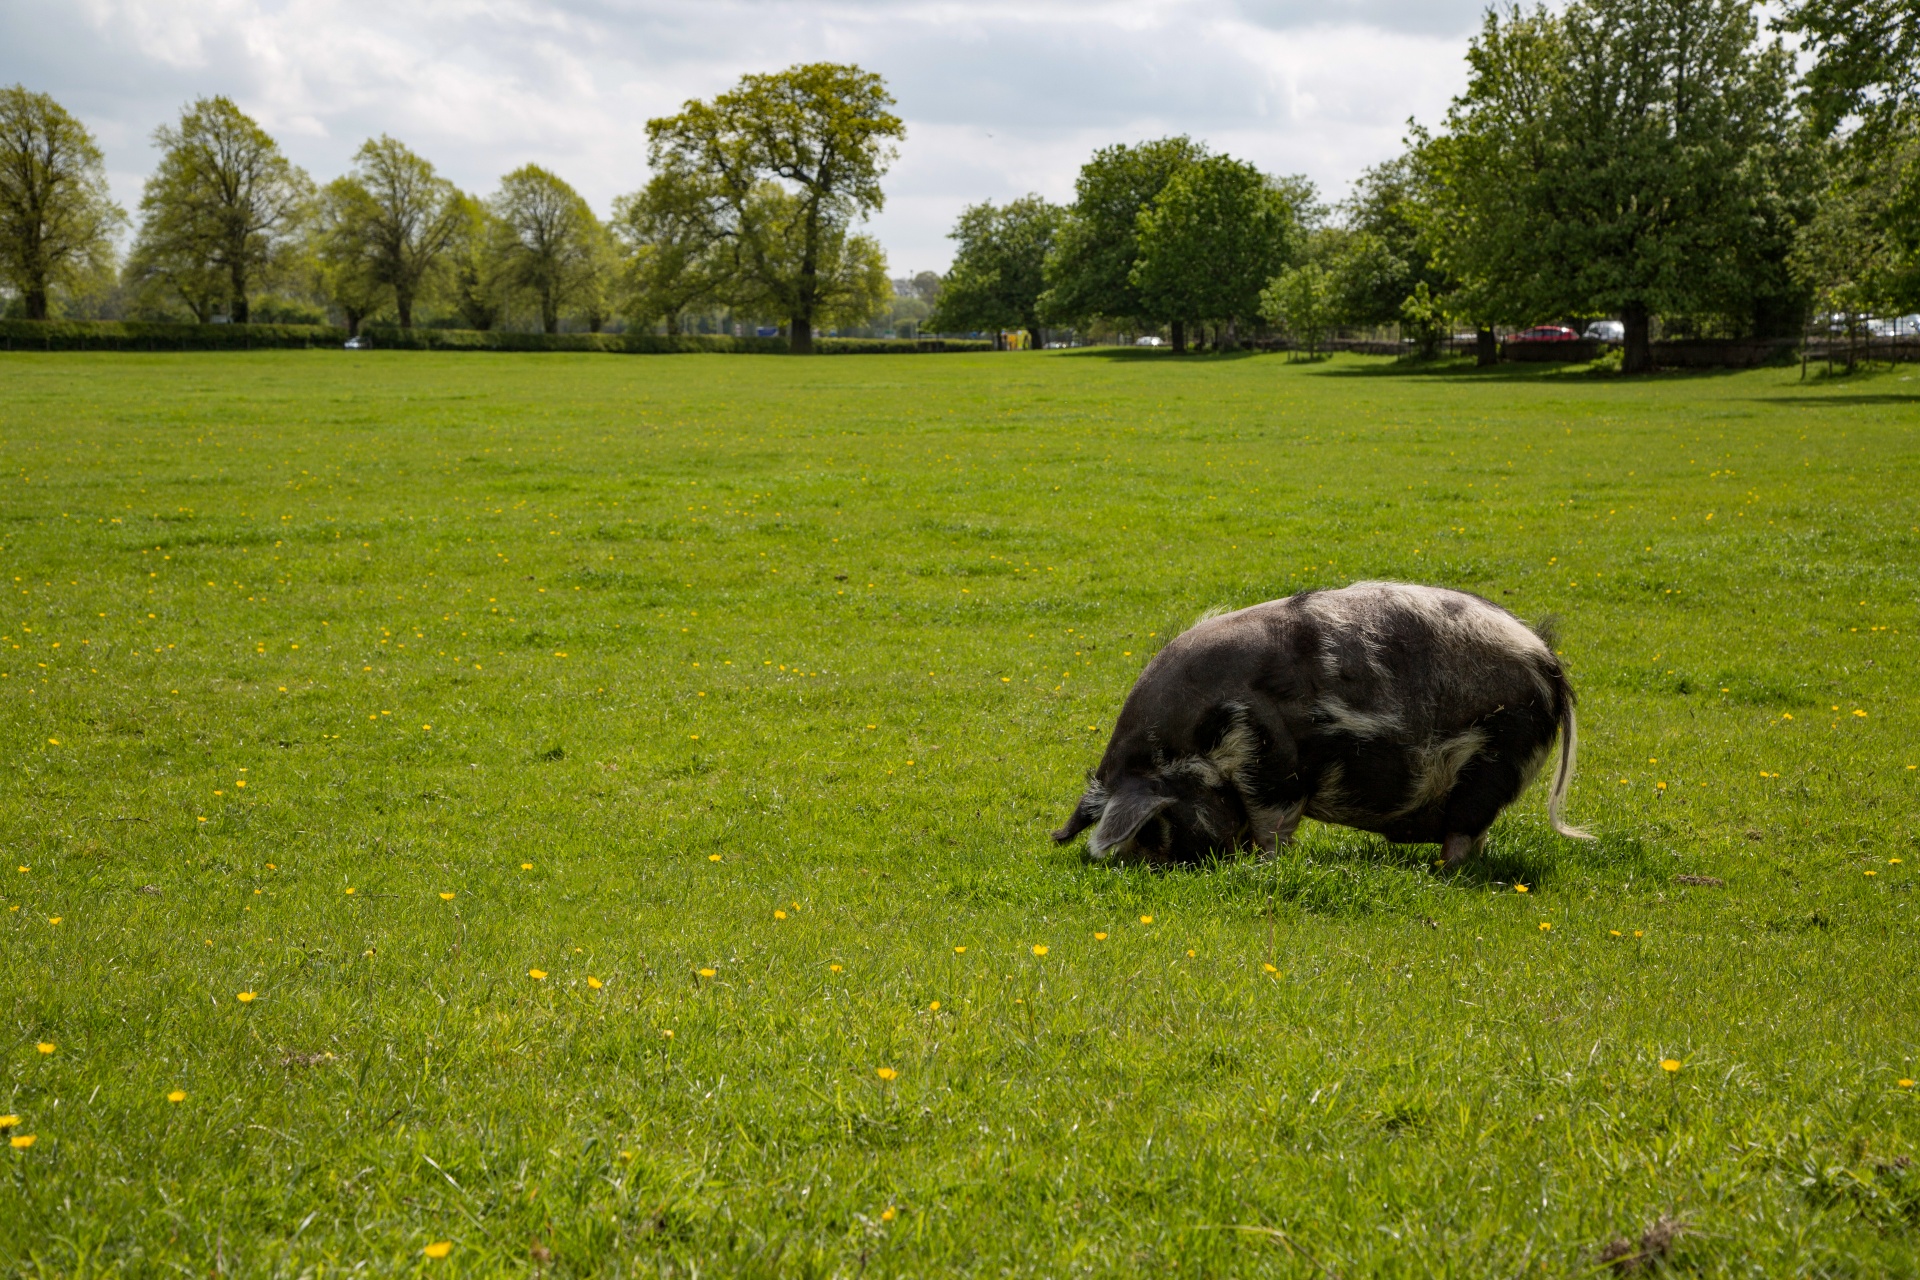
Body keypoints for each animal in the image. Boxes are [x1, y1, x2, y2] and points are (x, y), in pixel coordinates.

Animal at [1052, 583, 1589, 867]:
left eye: (1152, 827)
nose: (1137, 863)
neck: (1197, 746)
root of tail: (1548, 662)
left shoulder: (1270, 762)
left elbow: (1273, 826)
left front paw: (1266, 866)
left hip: (1498, 755)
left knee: (1466, 830)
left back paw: (1443, 872)